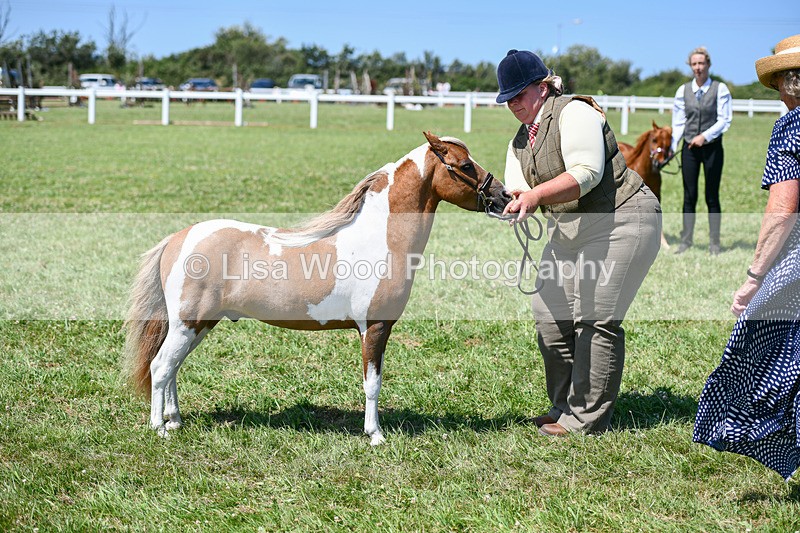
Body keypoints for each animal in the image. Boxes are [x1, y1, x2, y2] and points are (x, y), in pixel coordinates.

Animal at [123, 132, 512, 446]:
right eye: (465, 165)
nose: (504, 197)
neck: (380, 238)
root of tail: (178, 238)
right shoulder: (374, 327)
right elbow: (372, 383)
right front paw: (375, 434)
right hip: (187, 324)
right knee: (161, 367)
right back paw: (159, 428)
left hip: (199, 325)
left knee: (173, 367)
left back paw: (175, 420)